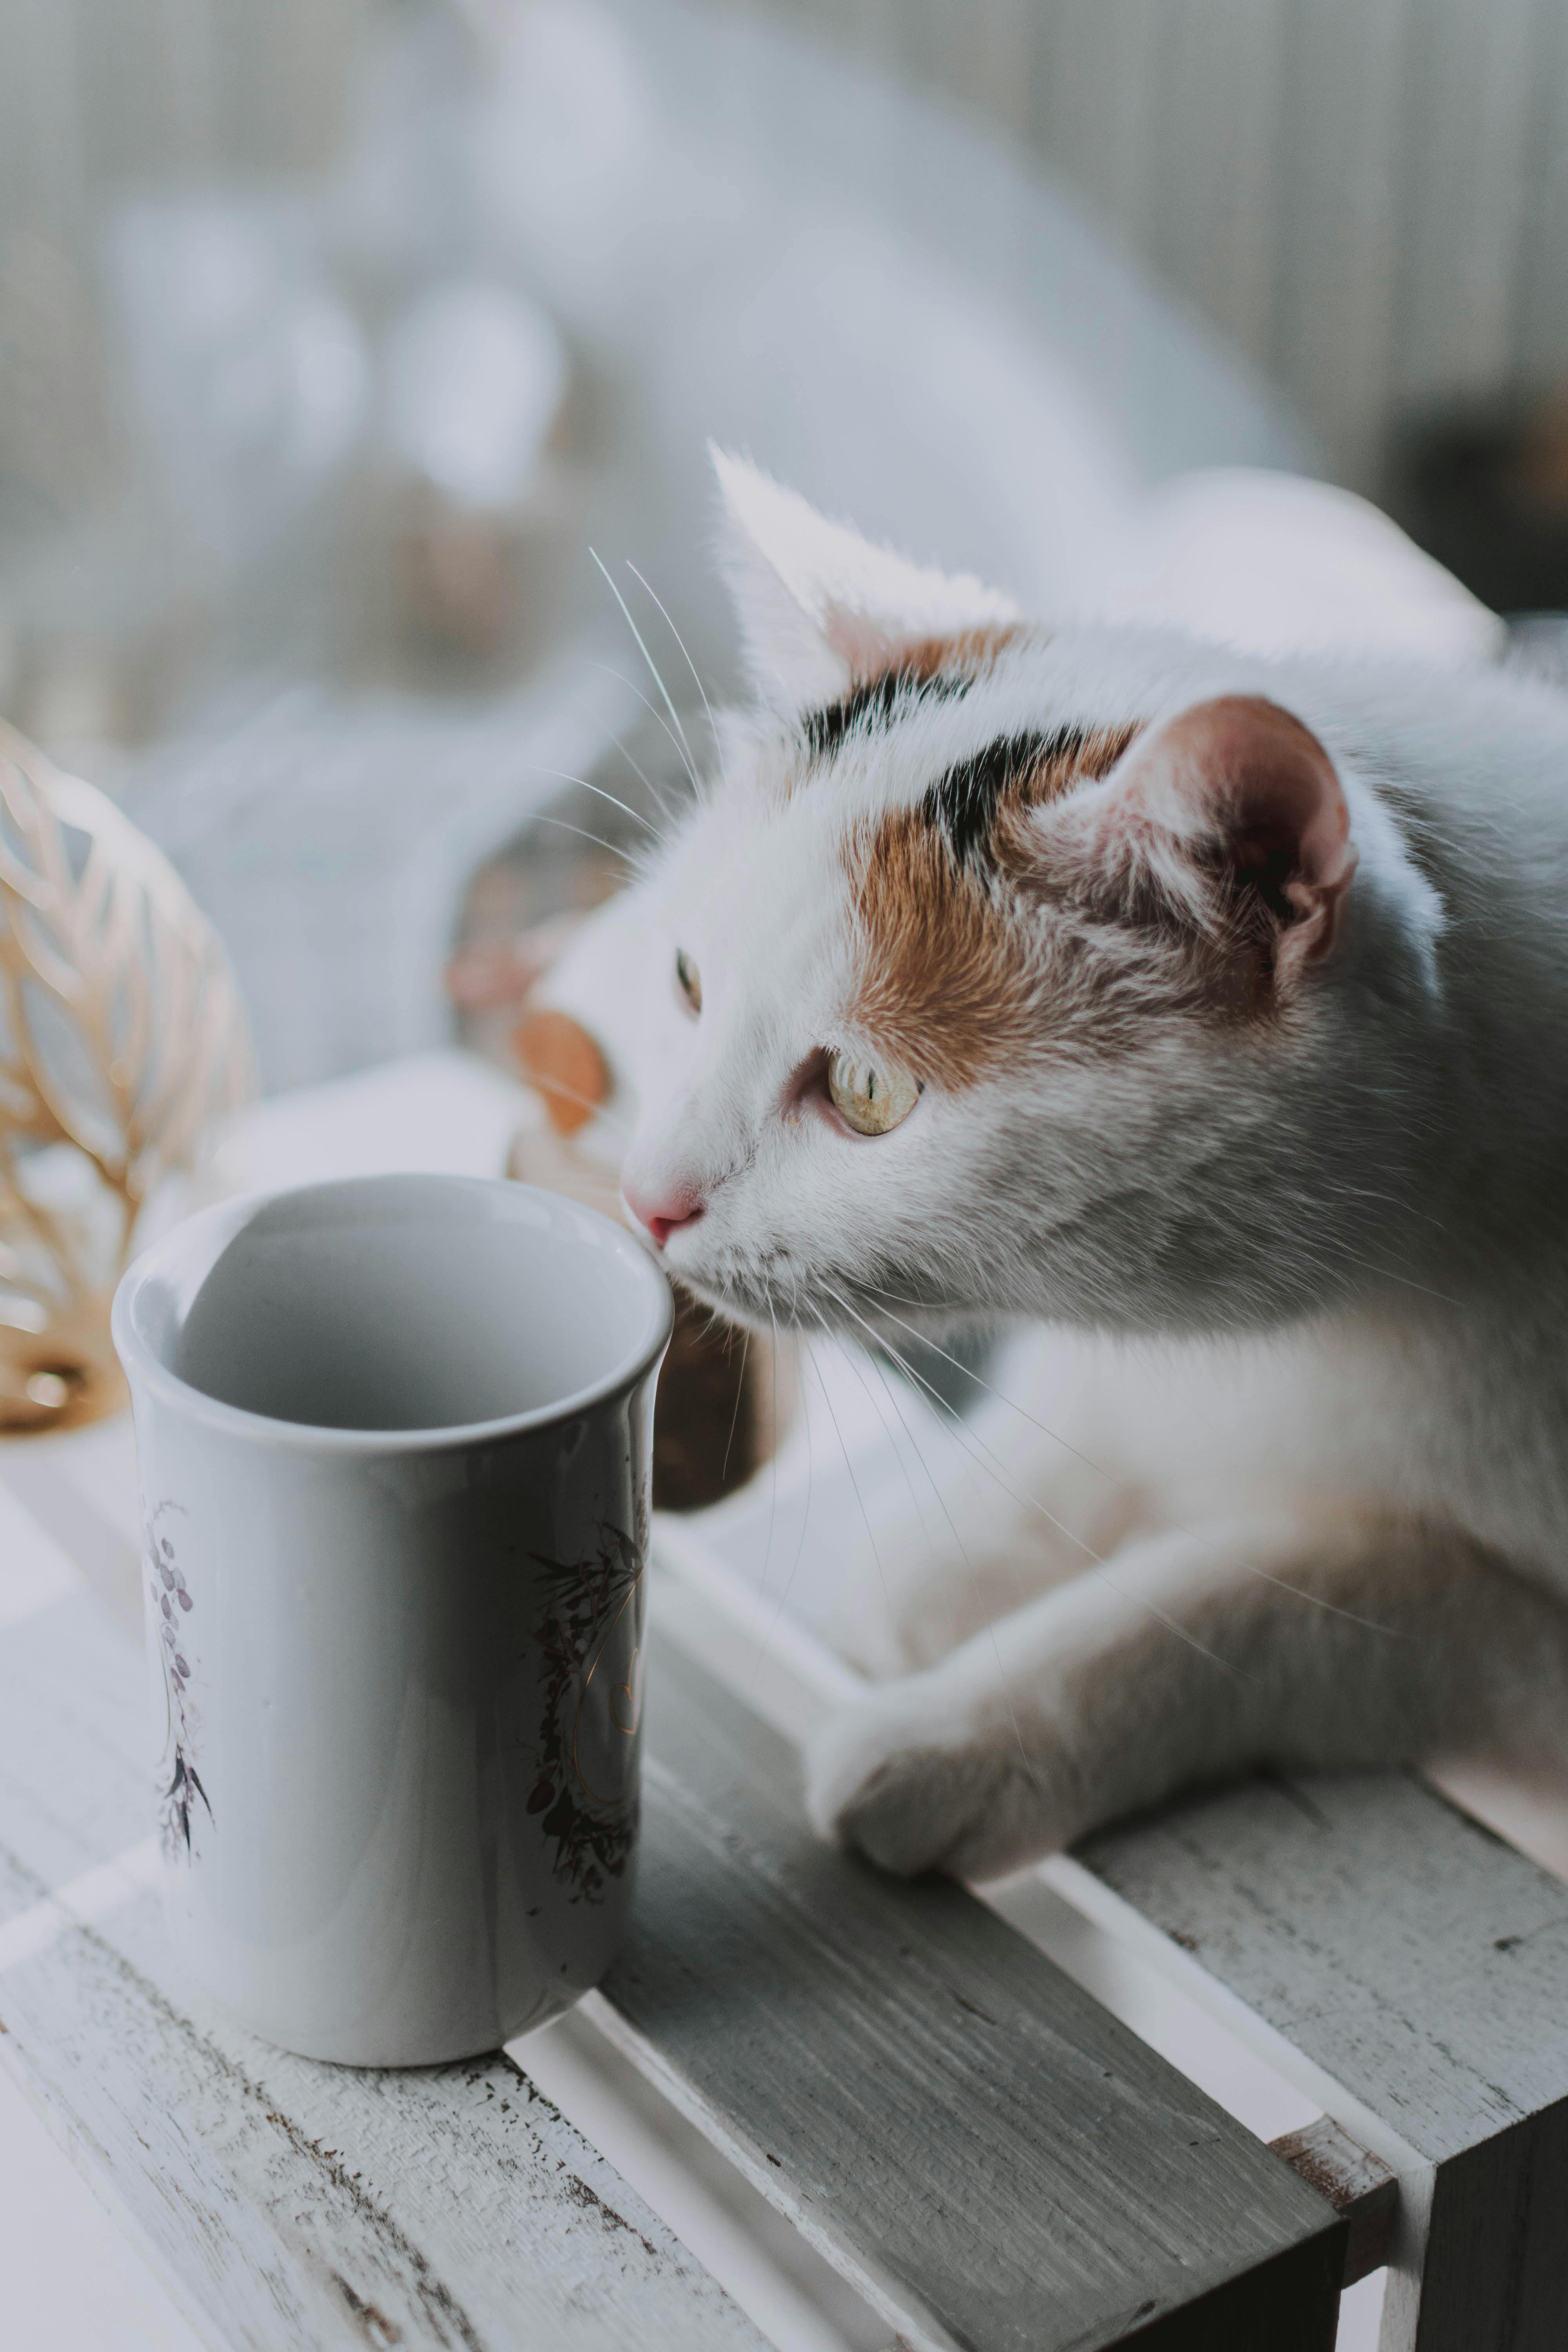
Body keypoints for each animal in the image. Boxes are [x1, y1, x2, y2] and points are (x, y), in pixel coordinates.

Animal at [550, 454, 1568, 1891]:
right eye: (690, 983)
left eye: (868, 1094)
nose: (648, 1203)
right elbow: (1086, 1422)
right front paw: (953, 1568)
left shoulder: (1521, 1651)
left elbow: (1282, 1590)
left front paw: (959, 1731)